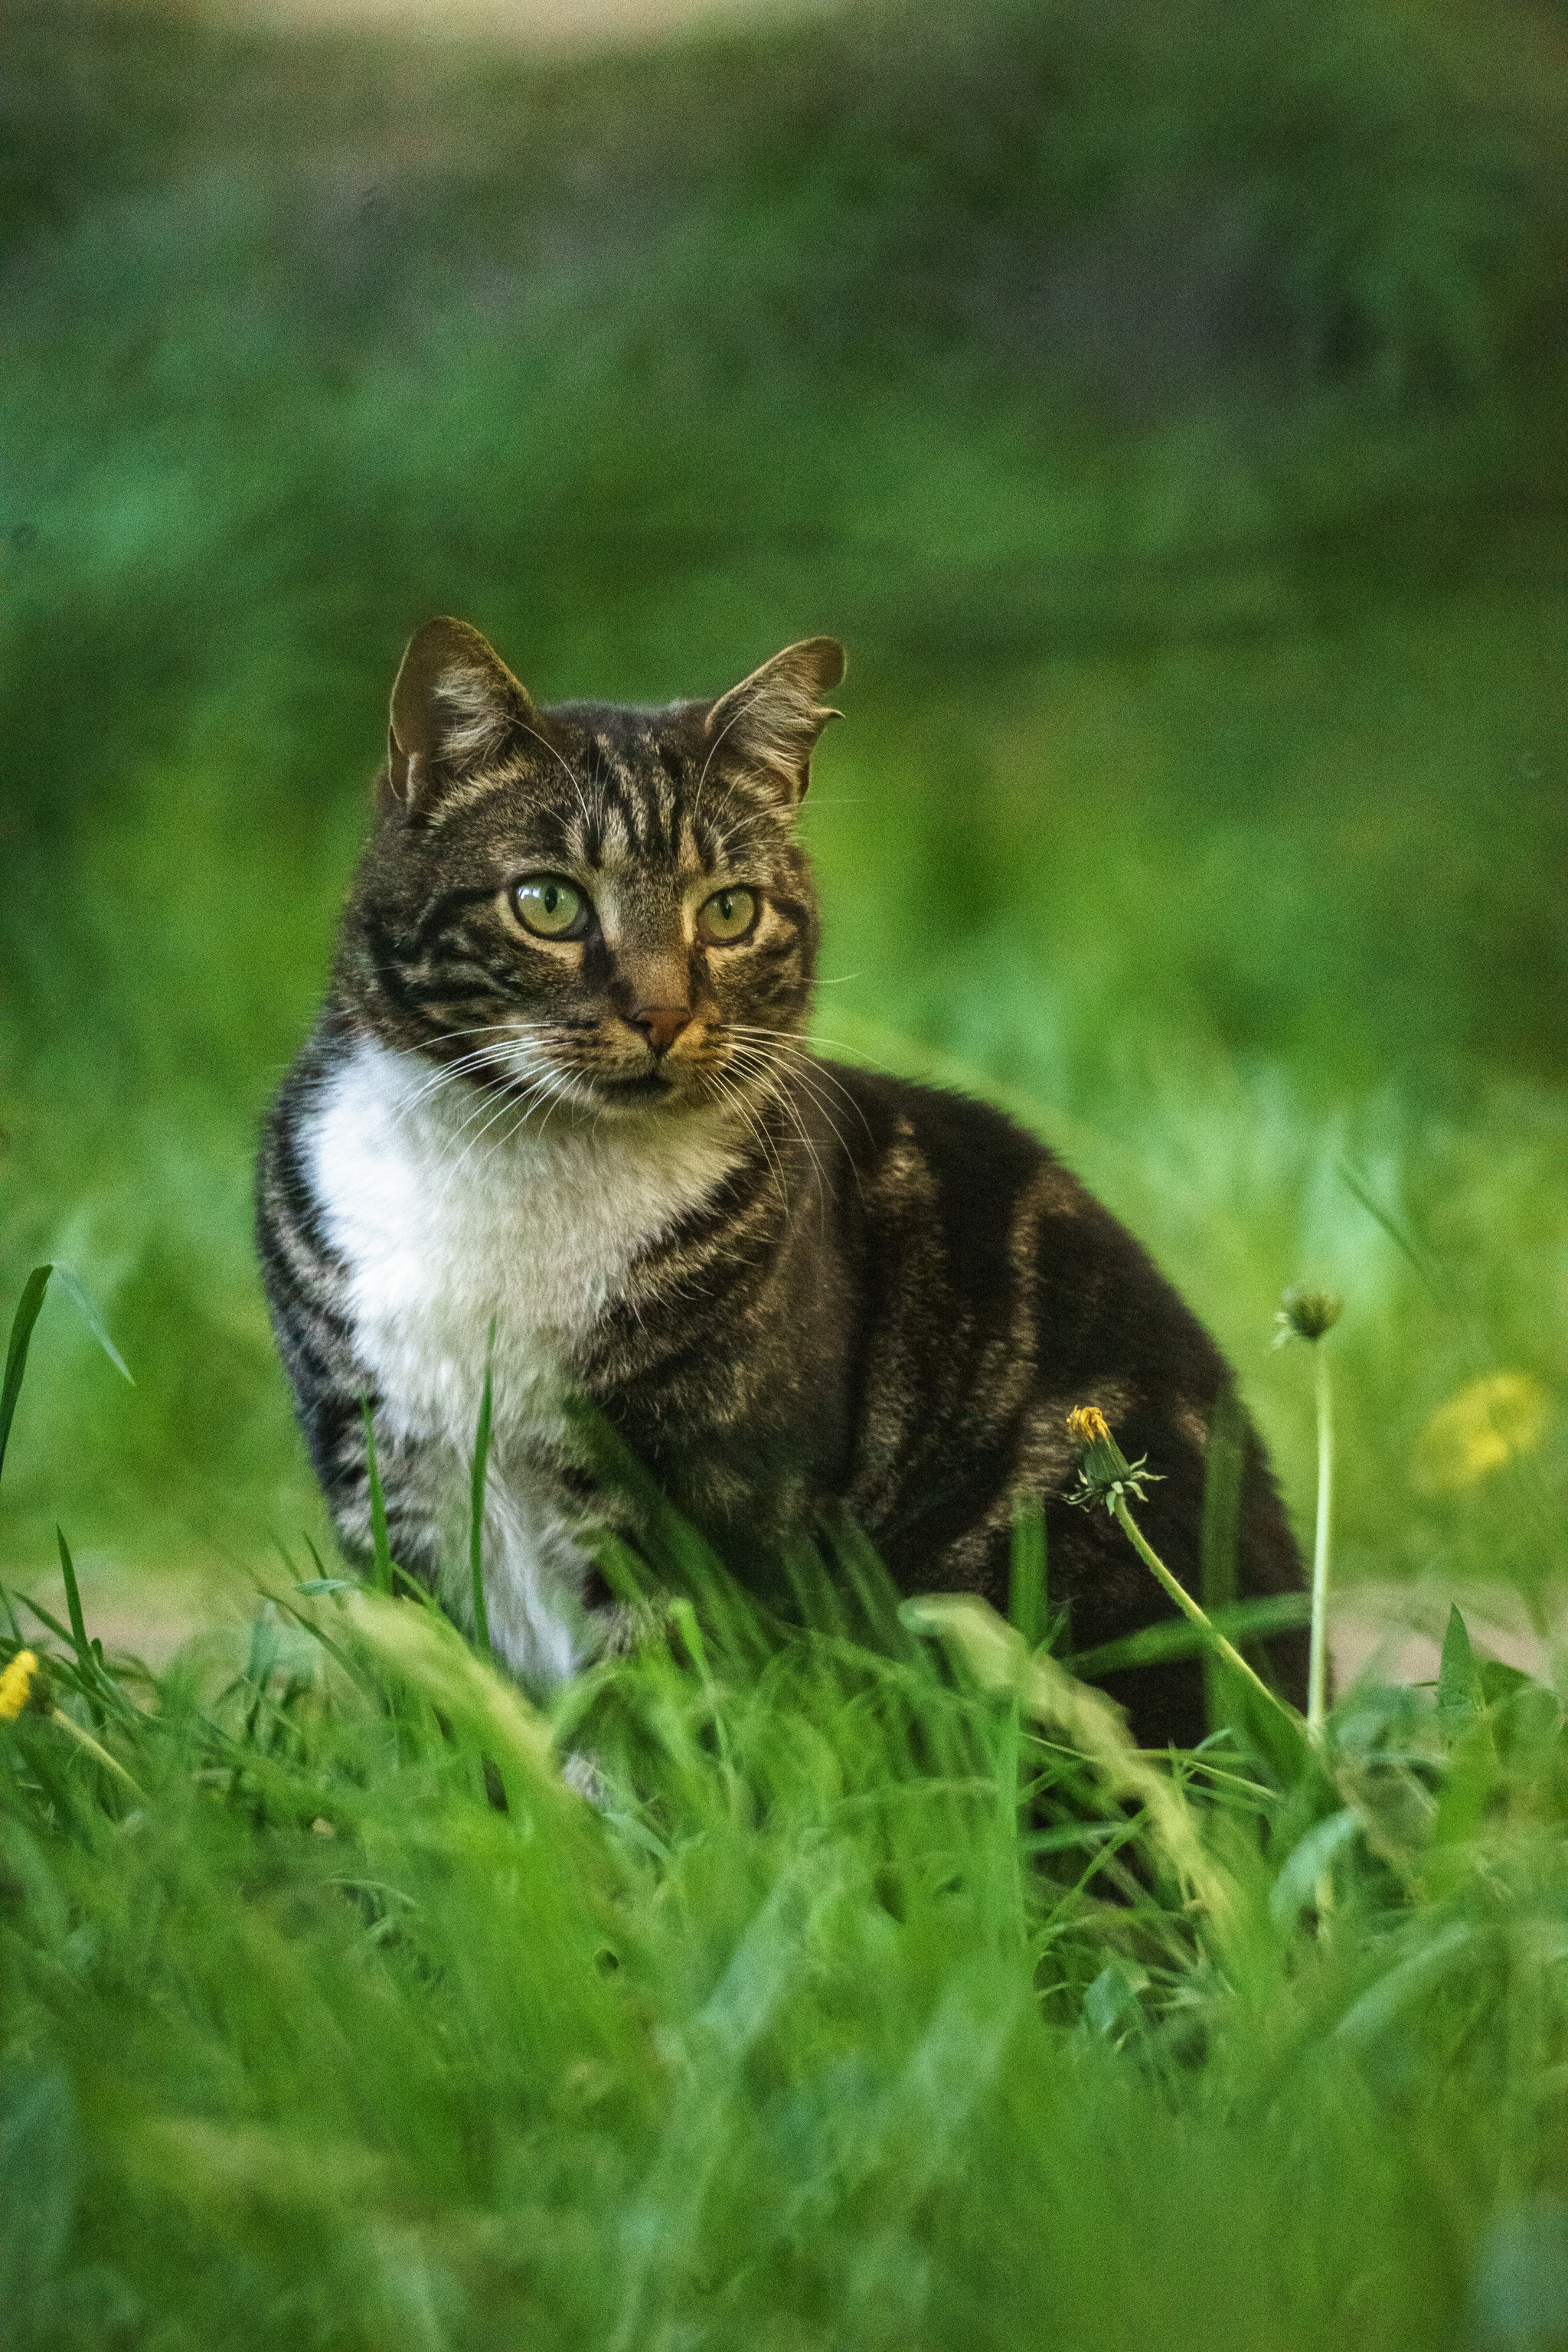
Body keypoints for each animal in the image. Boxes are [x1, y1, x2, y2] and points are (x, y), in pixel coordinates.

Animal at [260, 616, 1316, 1759]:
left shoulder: (696, 1509)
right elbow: (455, 1722)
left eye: (728, 912)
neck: (519, 1168)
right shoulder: (381, 1482)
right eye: (547, 902)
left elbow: (653, 1731)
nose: (663, 1015)